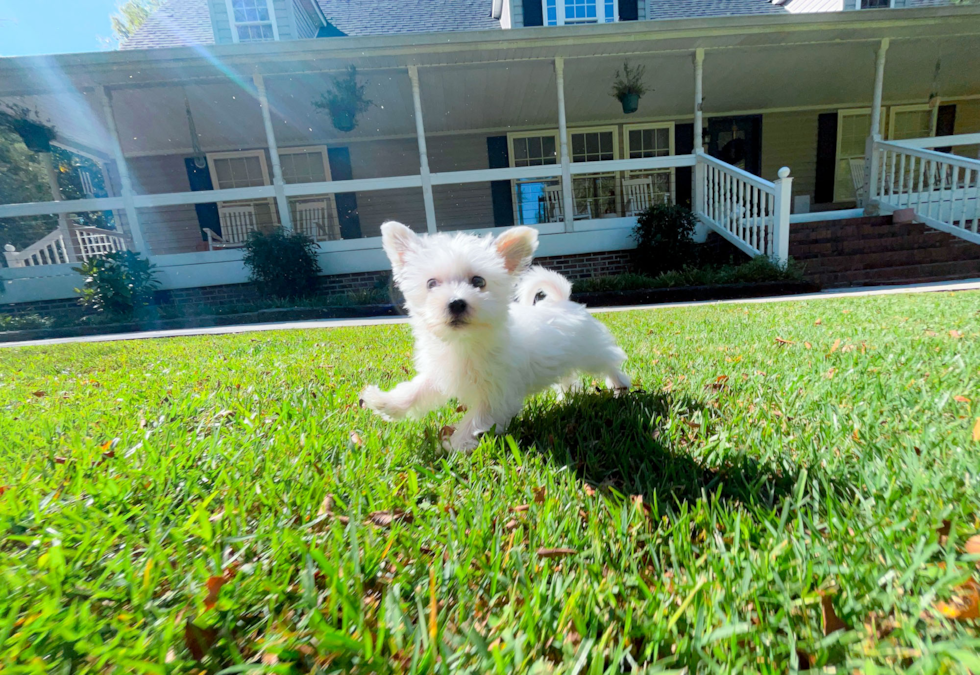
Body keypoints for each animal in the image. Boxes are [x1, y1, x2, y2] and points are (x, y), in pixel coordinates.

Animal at [360, 223, 628, 454]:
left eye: (478, 281)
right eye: (431, 283)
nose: (456, 302)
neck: (465, 342)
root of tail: (562, 300)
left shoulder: (496, 396)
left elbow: (474, 420)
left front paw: (452, 446)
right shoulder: (440, 375)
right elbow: (416, 390)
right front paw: (385, 402)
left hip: (592, 351)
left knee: (610, 361)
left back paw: (620, 385)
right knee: (568, 375)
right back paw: (567, 395)